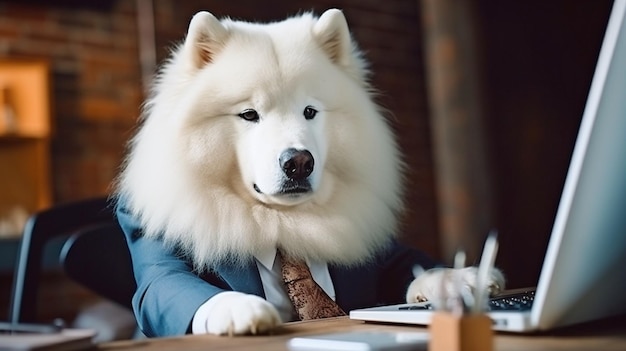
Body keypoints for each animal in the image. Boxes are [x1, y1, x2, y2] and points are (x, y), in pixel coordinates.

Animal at [114, 8, 500, 336]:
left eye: (310, 111)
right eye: (249, 114)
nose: (299, 162)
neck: (284, 223)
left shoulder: (388, 252)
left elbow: (414, 262)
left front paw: (463, 278)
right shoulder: (157, 255)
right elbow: (171, 283)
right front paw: (239, 308)